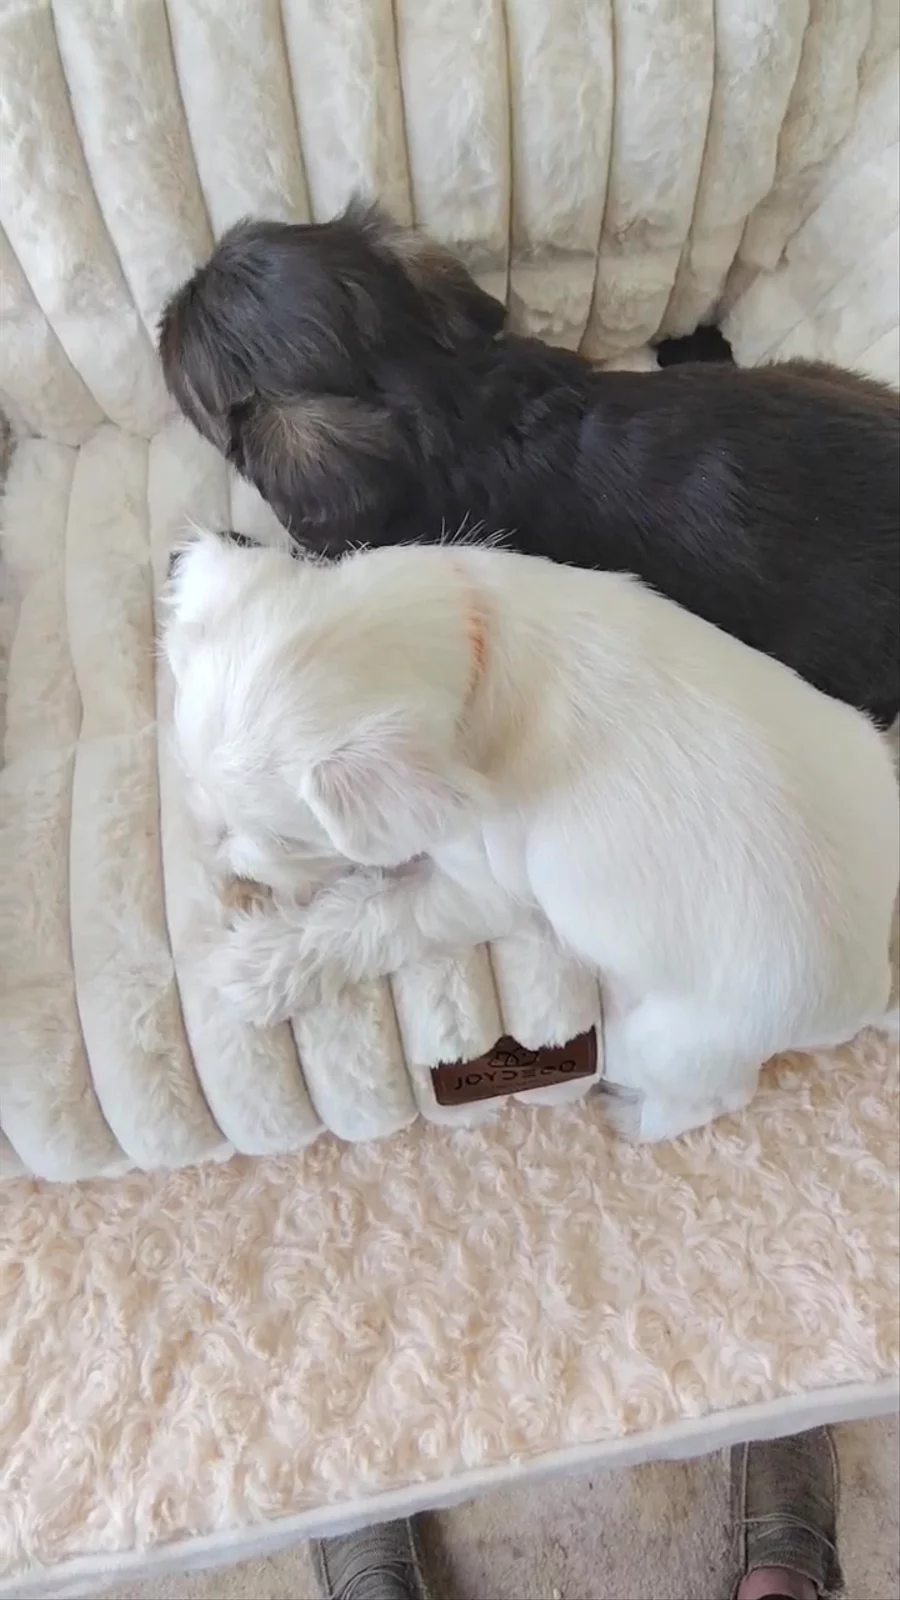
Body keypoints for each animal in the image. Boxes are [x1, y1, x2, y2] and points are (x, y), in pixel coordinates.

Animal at [162, 529, 899, 1143]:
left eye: (283, 840)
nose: (220, 861)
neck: (471, 636)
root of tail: (871, 986)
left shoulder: (480, 888)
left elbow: (375, 916)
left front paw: (255, 968)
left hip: (676, 1038)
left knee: (712, 1097)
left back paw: (630, 1111)